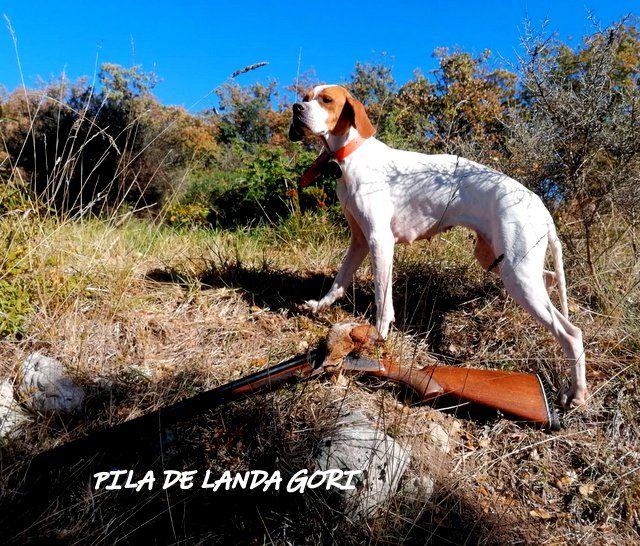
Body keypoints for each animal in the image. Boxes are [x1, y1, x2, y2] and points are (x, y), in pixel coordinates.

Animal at [290, 85, 584, 406]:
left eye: (326, 100)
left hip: (518, 275)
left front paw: (378, 336)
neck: (351, 154)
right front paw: (319, 306)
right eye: (305, 97)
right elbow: (339, 281)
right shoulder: (359, 241)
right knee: (550, 277)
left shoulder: (380, 241)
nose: (296, 108)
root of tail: (541, 207)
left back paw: (577, 393)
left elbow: (383, 299)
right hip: (499, 260)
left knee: (571, 333)